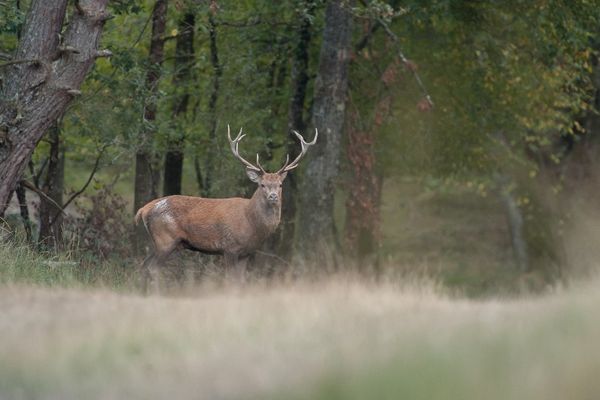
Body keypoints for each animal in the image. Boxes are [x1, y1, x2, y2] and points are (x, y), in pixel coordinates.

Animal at [134, 126, 316, 286]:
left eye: (280, 185)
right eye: (262, 184)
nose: (273, 196)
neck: (251, 224)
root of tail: (144, 209)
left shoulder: (246, 252)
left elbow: (241, 281)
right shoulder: (229, 248)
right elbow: (231, 281)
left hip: (157, 242)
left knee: (143, 266)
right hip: (165, 238)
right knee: (152, 268)